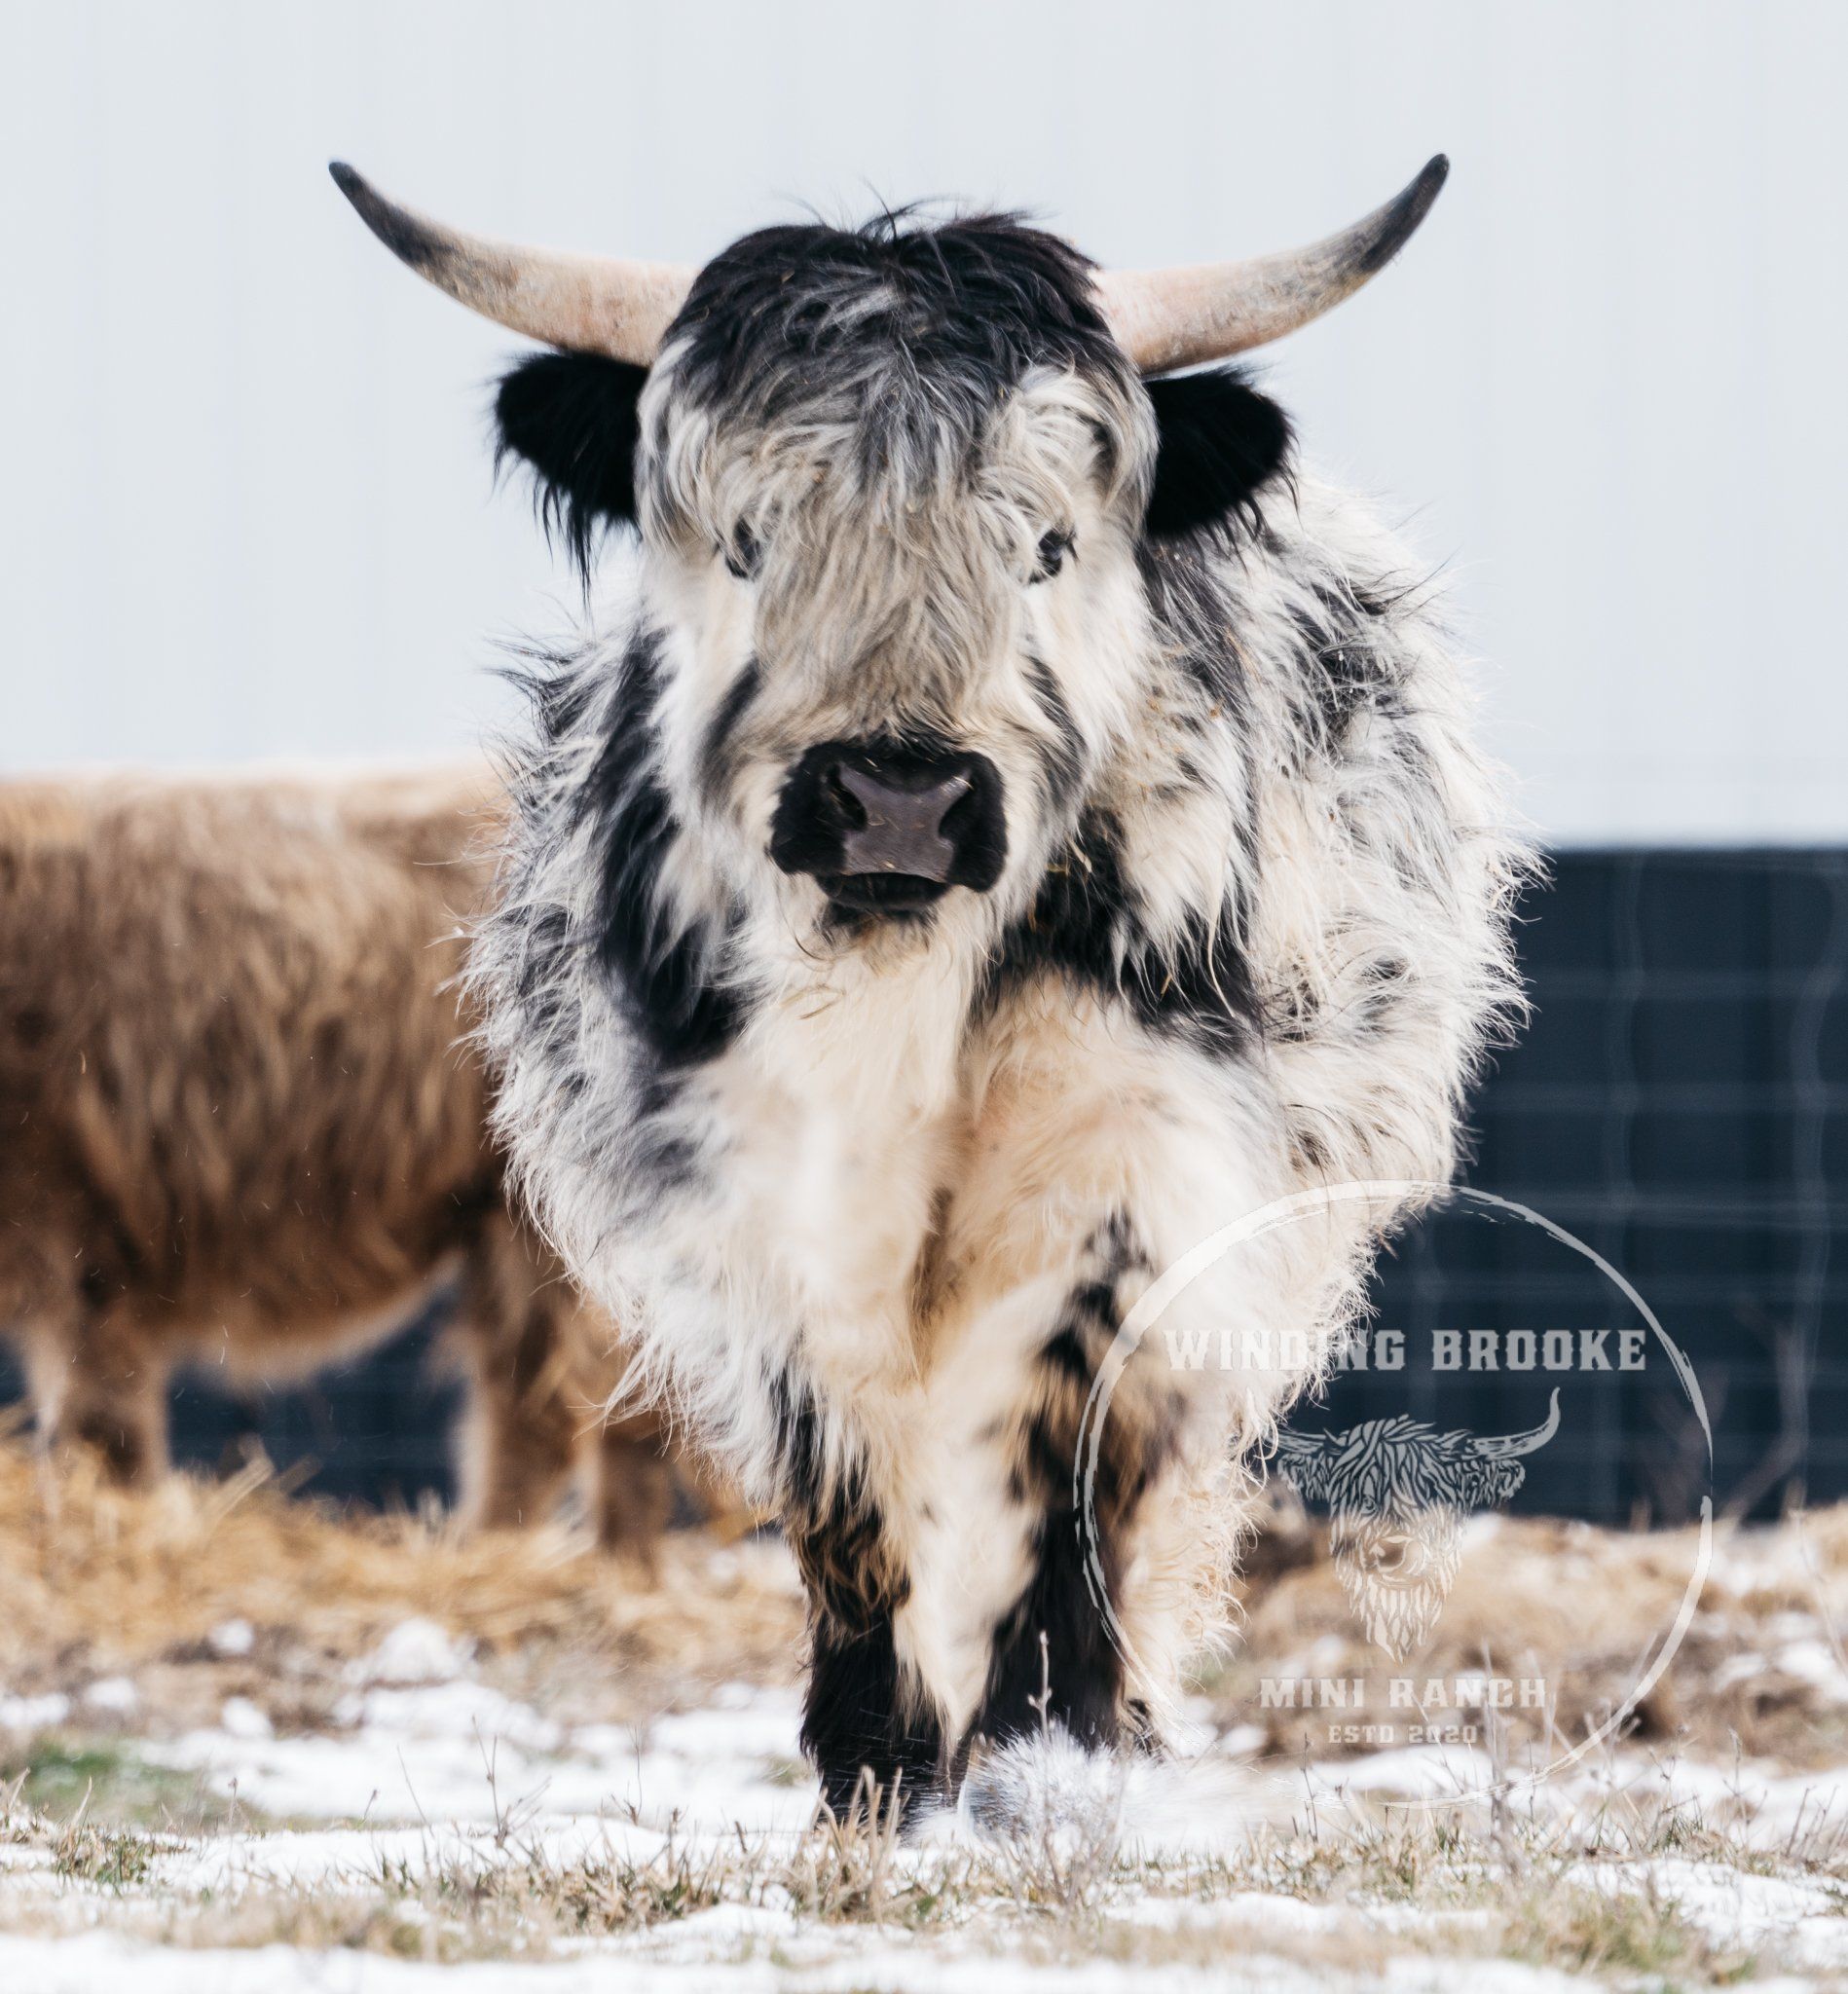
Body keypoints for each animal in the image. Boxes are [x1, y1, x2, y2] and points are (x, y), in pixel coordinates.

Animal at [334, 156, 1529, 1823]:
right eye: (747, 540)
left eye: (1044, 545)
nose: (895, 799)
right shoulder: (756, 1206)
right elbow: (846, 1482)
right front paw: (877, 1760)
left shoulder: (1130, 1171)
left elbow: (1069, 1447)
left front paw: (1052, 1741)